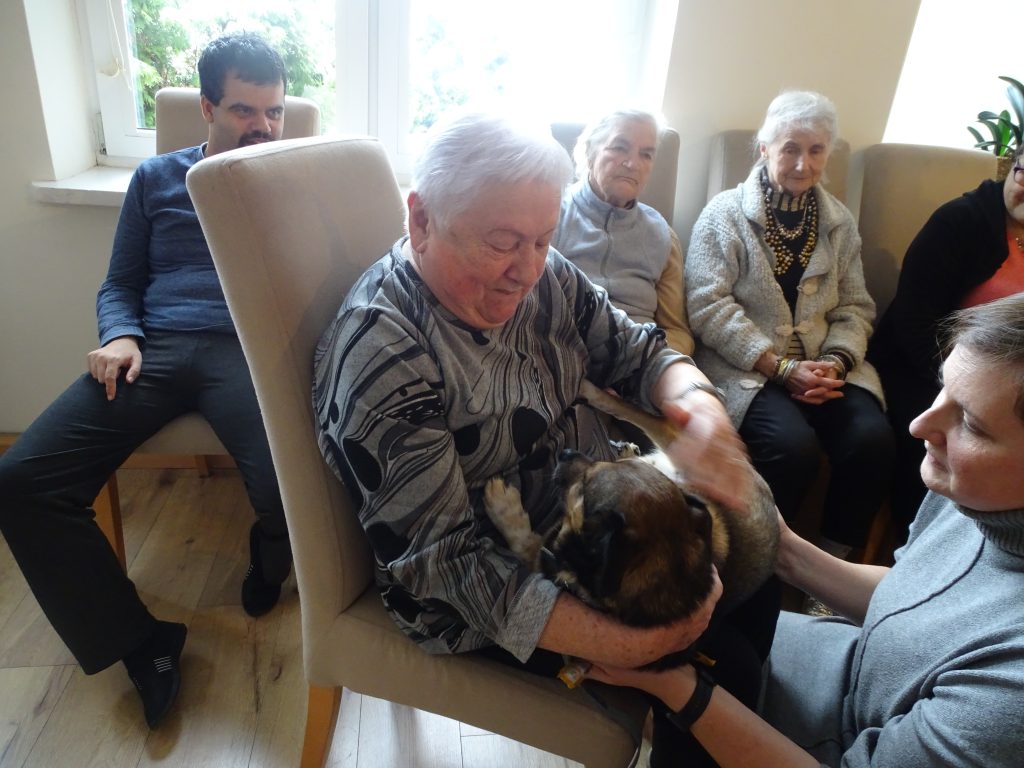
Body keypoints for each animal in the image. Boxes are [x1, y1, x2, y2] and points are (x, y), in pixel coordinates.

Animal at [483, 379, 778, 671]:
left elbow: (526, 542)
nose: (565, 453)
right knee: (641, 415)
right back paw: (593, 393)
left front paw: (503, 504)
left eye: (584, 486)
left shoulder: (547, 555)